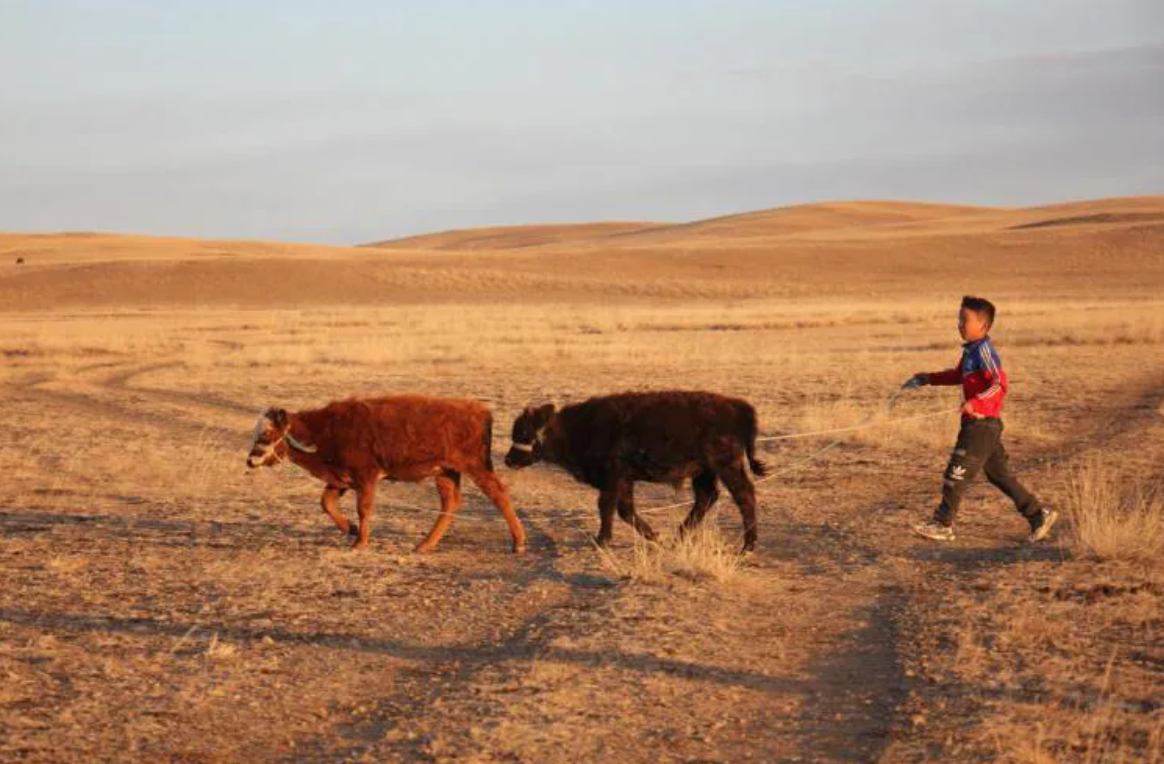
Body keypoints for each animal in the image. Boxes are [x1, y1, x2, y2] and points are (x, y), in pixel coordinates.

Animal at [247, 395, 526, 552]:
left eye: (267, 433)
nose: (250, 461)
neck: (325, 430)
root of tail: (479, 411)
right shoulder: (342, 479)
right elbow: (326, 503)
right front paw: (350, 529)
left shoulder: (366, 477)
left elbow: (363, 508)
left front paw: (359, 542)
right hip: (446, 473)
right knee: (450, 504)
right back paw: (424, 545)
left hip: (476, 468)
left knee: (499, 496)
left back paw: (519, 543)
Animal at [505, 391, 768, 552]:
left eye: (525, 433)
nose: (508, 460)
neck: (578, 427)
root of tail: (737, 406)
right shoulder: (624, 481)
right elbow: (625, 511)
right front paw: (655, 537)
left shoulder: (613, 478)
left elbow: (607, 507)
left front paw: (602, 540)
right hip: (704, 472)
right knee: (707, 497)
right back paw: (678, 537)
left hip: (727, 467)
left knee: (744, 496)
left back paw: (747, 547)